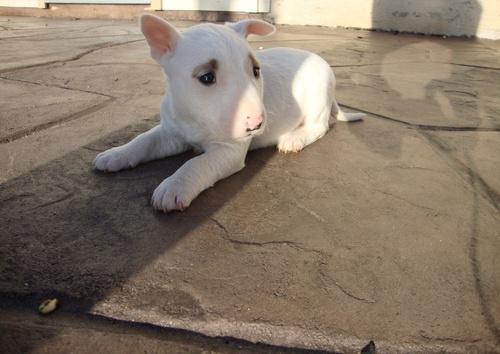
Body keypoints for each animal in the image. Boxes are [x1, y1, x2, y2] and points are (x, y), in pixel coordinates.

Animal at [94, 15, 364, 212]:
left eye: (256, 70)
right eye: (207, 77)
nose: (257, 124)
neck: (196, 120)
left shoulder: (229, 150)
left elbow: (197, 163)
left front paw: (174, 186)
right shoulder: (171, 132)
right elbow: (144, 140)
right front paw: (115, 154)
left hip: (317, 97)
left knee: (320, 126)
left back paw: (293, 138)